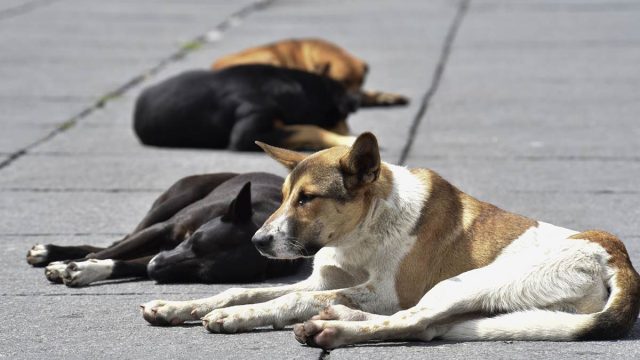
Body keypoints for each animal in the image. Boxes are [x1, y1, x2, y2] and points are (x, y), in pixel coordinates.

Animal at [26, 173, 302, 288]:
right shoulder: (163, 232)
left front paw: (86, 270)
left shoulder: (162, 255)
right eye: (194, 240)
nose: (155, 267)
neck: (260, 219)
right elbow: (112, 252)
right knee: (116, 243)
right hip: (172, 202)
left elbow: (124, 263)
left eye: (203, 275)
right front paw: (66, 265)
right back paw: (50, 252)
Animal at [141, 132, 640, 348]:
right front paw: (179, 306)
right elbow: (241, 289)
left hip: (467, 283)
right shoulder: (322, 280)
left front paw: (239, 317)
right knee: (426, 327)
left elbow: (283, 300)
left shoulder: (385, 292)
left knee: (412, 320)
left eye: (308, 198)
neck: (364, 228)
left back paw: (332, 329)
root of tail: (617, 257)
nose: (259, 241)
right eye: (282, 197)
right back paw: (337, 317)